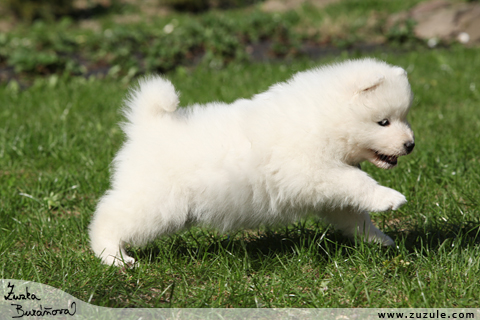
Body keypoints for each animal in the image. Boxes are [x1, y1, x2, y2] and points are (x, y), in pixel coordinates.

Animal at [88, 58, 414, 266]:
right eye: (383, 122)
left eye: (404, 117)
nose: (410, 145)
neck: (325, 119)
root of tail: (147, 125)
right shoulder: (312, 171)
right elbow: (357, 181)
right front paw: (389, 197)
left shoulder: (329, 191)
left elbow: (354, 214)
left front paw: (379, 239)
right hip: (156, 202)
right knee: (109, 218)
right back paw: (114, 257)